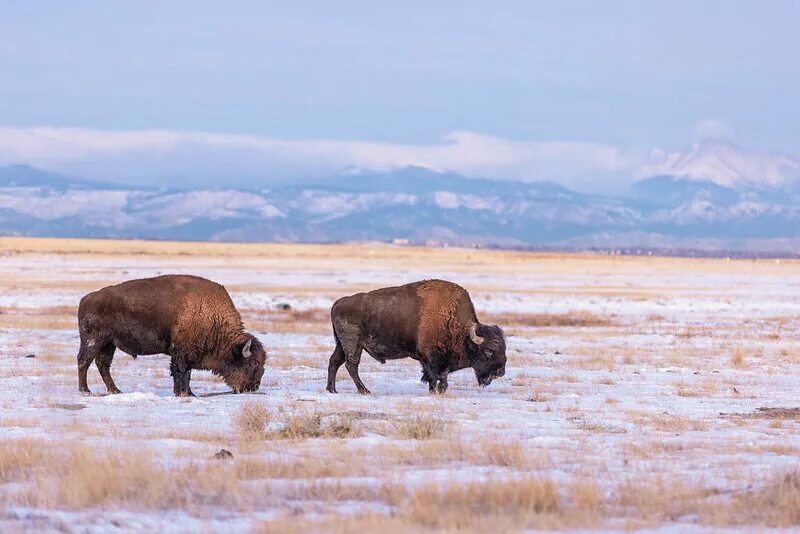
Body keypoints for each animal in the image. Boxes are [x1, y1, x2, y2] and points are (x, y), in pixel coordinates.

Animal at [76, 276, 268, 398]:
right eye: (253, 364)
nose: (254, 387)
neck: (212, 317)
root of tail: (86, 298)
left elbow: (187, 373)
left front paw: (190, 393)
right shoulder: (181, 352)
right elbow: (181, 372)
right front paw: (183, 393)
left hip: (109, 344)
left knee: (103, 365)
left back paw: (115, 390)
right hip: (93, 341)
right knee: (84, 361)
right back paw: (85, 390)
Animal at [324, 278, 506, 396]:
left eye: (504, 349)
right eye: (489, 350)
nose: (500, 372)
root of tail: (338, 303)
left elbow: (436, 376)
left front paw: (435, 390)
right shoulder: (431, 358)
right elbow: (437, 375)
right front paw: (438, 391)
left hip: (340, 344)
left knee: (335, 361)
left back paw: (332, 389)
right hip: (353, 345)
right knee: (351, 365)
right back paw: (364, 391)